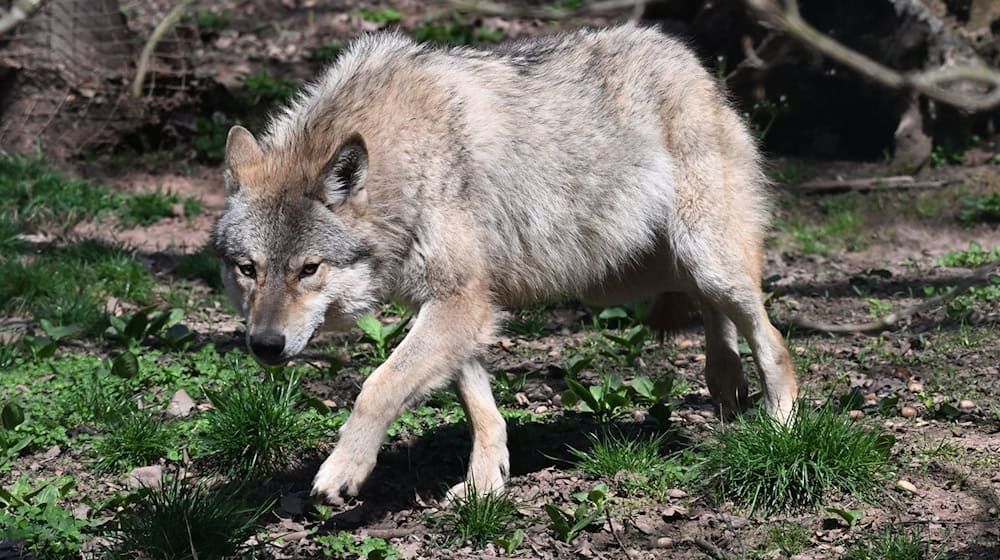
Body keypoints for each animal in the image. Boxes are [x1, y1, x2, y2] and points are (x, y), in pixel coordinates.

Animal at [211, 25, 799, 505]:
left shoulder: (461, 301)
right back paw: (725, 382)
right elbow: (480, 409)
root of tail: (692, 61)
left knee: (771, 338)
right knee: (709, 307)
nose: (264, 345)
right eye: (248, 269)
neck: (405, 163)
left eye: (308, 269)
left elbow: (378, 386)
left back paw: (780, 428)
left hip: (700, 257)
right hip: (625, 276)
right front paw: (484, 485)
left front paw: (343, 470)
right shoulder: (461, 306)